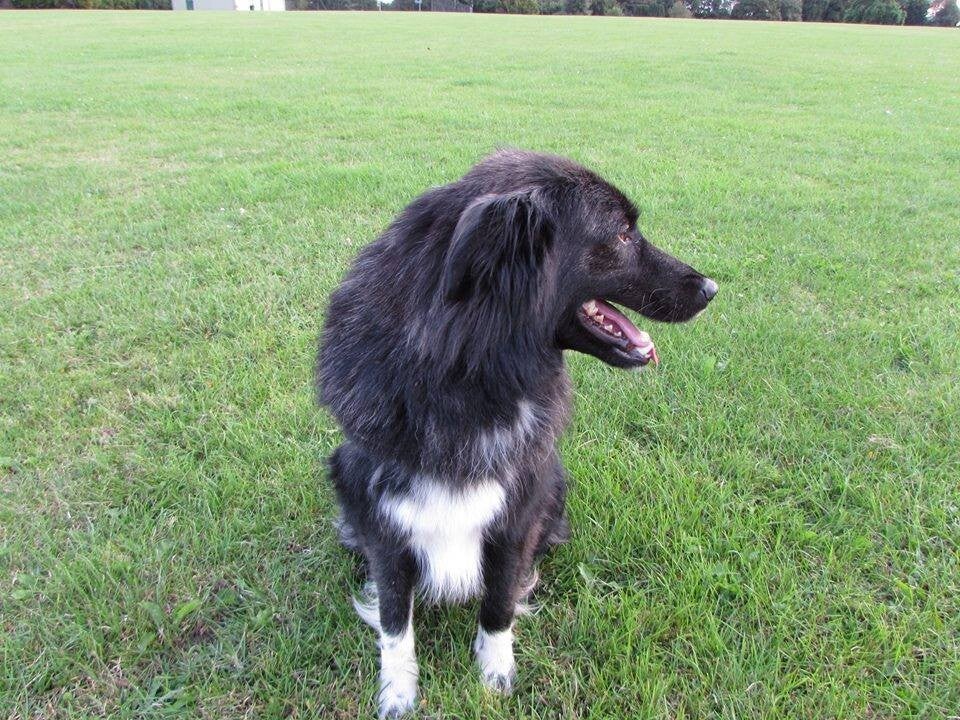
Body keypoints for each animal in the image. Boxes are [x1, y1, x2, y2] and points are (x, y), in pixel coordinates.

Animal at [316, 150, 716, 717]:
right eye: (621, 234)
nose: (711, 289)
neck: (467, 372)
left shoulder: (521, 508)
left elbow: (500, 599)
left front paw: (495, 673)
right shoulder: (383, 519)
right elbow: (395, 617)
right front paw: (398, 691)